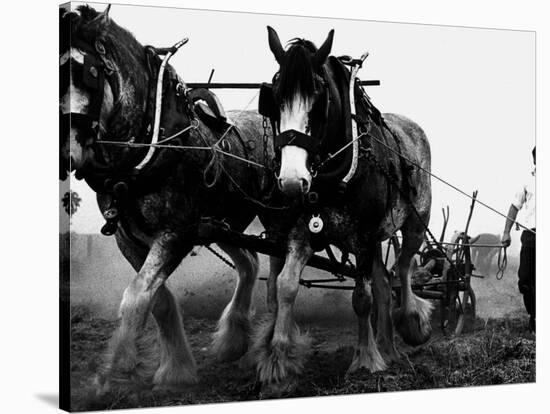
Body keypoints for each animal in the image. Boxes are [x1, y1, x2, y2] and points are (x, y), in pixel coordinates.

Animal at [59, 4, 274, 392]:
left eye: (88, 74)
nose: (65, 153)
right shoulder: (129, 239)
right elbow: (156, 299)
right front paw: (176, 369)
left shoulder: (175, 233)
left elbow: (135, 298)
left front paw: (111, 374)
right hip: (221, 223)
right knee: (249, 262)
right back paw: (232, 340)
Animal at [251, 27, 436, 396]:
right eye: (274, 96)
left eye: (318, 97)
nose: (291, 180)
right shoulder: (302, 233)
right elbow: (285, 286)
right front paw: (277, 363)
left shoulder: (362, 236)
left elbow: (362, 298)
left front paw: (365, 360)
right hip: (375, 239)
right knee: (384, 283)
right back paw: (388, 347)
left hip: (415, 221)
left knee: (404, 268)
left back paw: (411, 322)